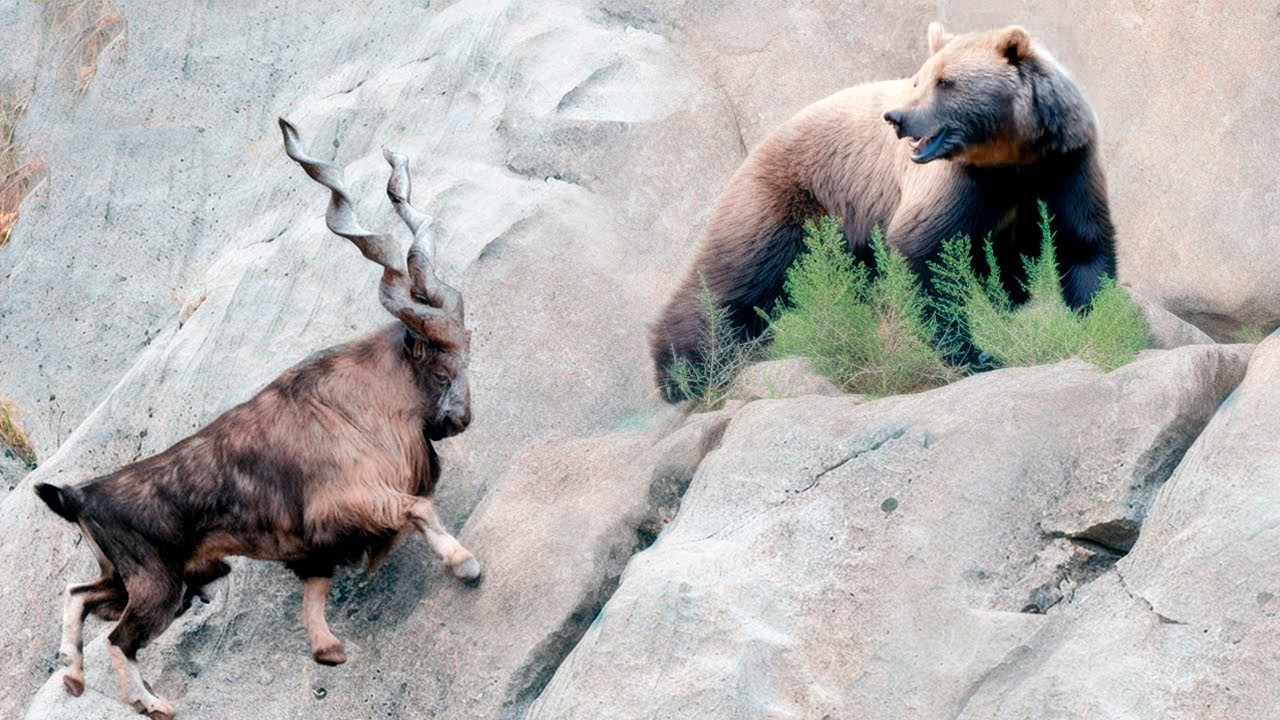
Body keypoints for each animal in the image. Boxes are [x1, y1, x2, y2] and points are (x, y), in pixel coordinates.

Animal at [33, 118, 479, 720]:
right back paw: (152, 703)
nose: (460, 419)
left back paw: (75, 678)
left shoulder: (317, 548)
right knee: (119, 638)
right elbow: (418, 507)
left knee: (79, 596)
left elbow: (316, 593)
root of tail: (78, 495)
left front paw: (328, 650)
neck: (359, 404)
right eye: (440, 365)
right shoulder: (350, 499)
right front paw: (466, 564)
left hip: (138, 577)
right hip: (158, 585)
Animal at [649, 23, 1117, 401]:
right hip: (794, 197)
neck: (1012, 156)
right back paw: (685, 371)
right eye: (919, 80)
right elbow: (925, 252)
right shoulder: (963, 183)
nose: (896, 118)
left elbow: (1083, 243)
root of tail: (760, 144)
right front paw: (972, 352)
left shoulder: (1065, 164)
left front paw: (1101, 315)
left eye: (945, 82)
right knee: (738, 276)